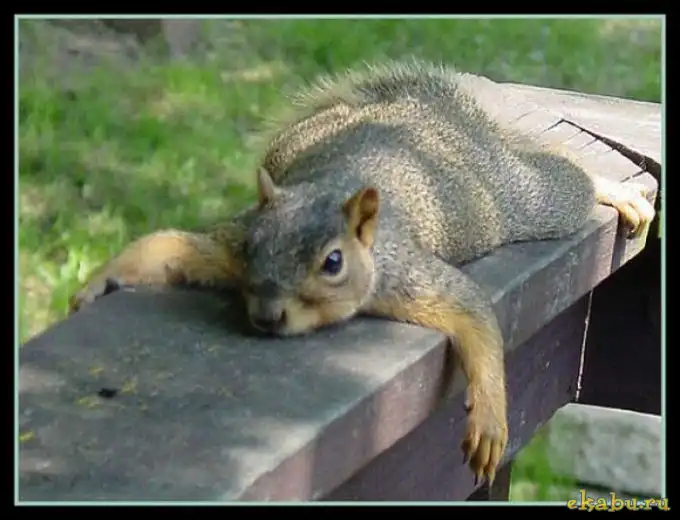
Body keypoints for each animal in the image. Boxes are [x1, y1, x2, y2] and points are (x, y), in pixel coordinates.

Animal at [68, 59, 655, 486]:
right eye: (256, 243)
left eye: (333, 262)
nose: (268, 317)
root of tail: (426, 113)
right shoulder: (228, 249)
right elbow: (172, 246)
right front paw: (101, 280)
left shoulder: (407, 276)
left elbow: (475, 316)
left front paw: (489, 419)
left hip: (522, 199)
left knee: (565, 177)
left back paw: (612, 190)